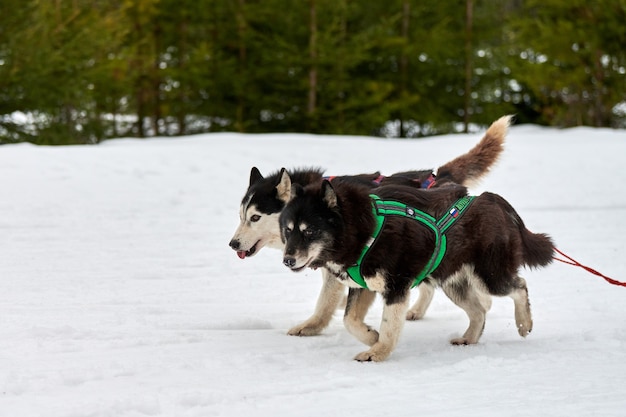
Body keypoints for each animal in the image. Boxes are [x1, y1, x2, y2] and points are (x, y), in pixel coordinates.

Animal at [229, 115, 512, 336]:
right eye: (241, 215)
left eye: (255, 217)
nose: (232, 244)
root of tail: (440, 177)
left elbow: (325, 303)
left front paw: (312, 326)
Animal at [278, 181, 552, 360]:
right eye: (288, 230)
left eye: (310, 230)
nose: (287, 260)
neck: (366, 229)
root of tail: (491, 199)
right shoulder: (363, 286)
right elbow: (349, 320)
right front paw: (372, 337)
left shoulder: (396, 287)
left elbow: (389, 325)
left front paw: (379, 352)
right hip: (454, 285)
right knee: (479, 312)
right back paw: (469, 338)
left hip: (490, 277)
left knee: (520, 287)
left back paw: (524, 323)